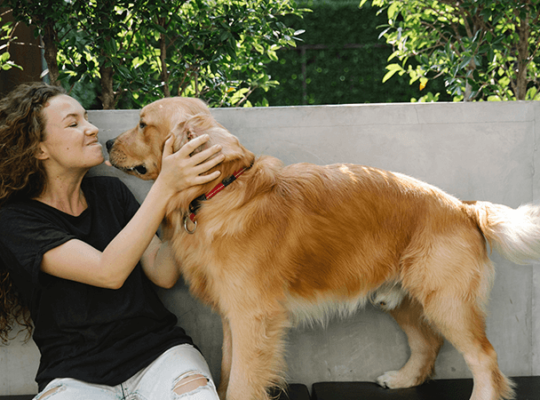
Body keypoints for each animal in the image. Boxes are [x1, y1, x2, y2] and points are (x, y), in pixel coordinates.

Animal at [105, 97, 540, 400]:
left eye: (142, 124)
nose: (107, 140)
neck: (221, 193)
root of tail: (464, 207)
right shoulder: (232, 317)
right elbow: (227, 373)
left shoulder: (251, 317)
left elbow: (242, 382)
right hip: (403, 299)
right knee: (428, 343)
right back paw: (402, 379)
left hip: (447, 302)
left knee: (485, 359)